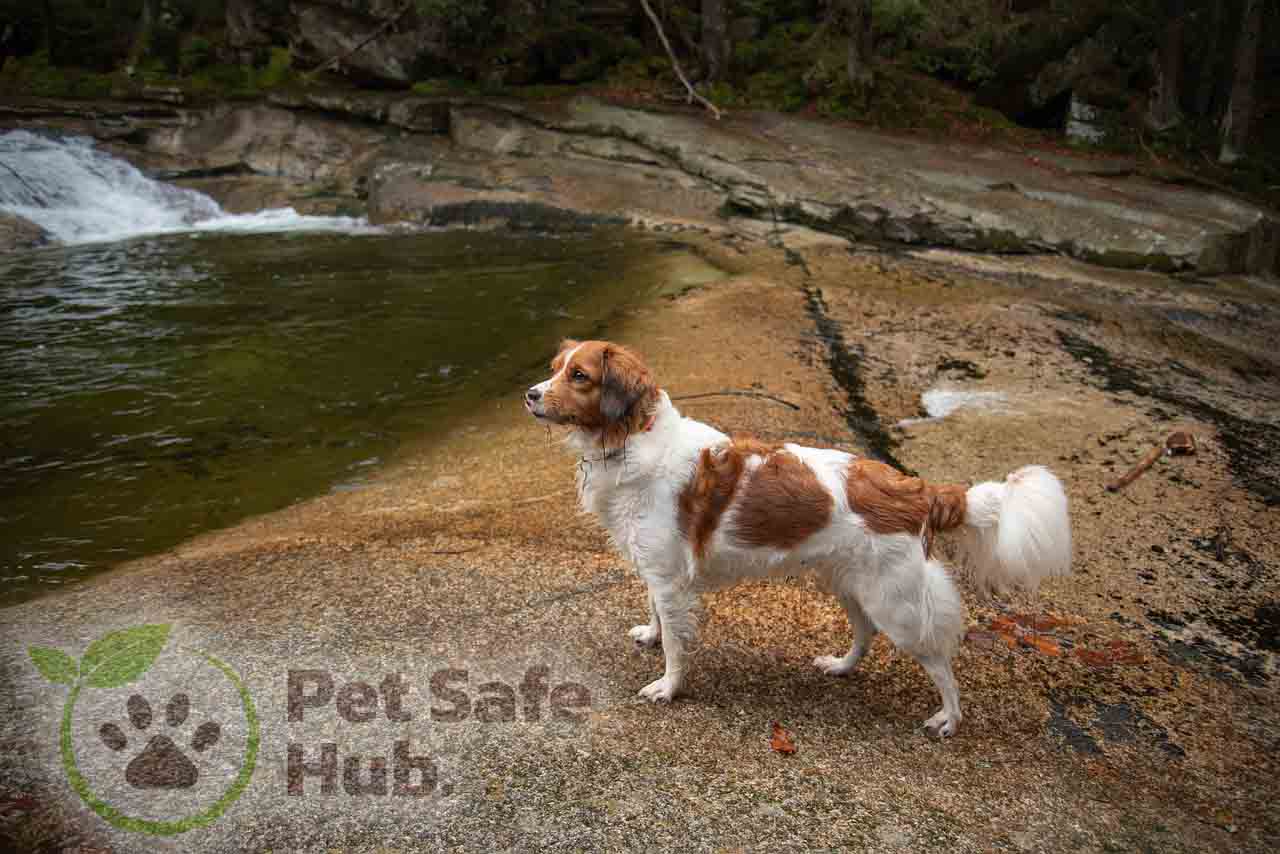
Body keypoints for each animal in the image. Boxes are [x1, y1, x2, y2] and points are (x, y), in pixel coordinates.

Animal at [519, 338, 1070, 737]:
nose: (529, 393)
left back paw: (949, 719)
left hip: (896, 602)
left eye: (579, 376)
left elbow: (677, 643)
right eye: (555, 367)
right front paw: (651, 637)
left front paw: (668, 687)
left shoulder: (670, 577)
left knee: (939, 661)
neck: (632, 438)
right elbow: (658, 616)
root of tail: (918, 488)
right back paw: (842, 666)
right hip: (850, 583)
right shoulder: (659, 572)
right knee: (865, 633)